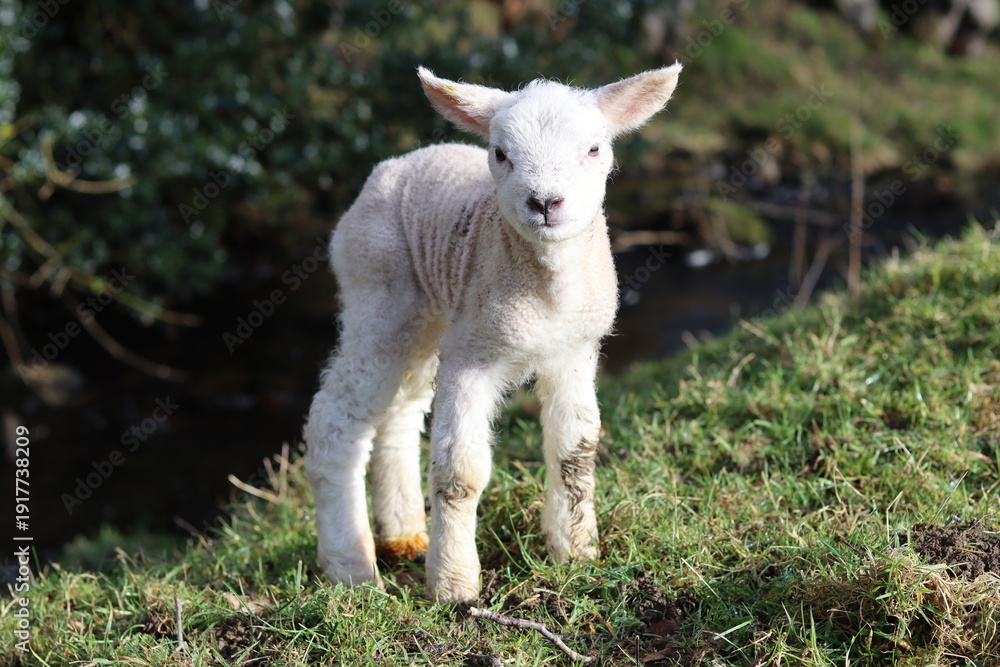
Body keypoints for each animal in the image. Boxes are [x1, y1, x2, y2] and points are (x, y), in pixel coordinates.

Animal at [304, 64, 682, 602]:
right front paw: (454, 587)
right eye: (500, 153)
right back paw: (351, 571)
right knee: (338, 420)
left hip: (430, 316)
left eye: (594, 149)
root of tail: (398, 163)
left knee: (399, 414)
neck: (546, 293)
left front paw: (577, 555)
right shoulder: (472, 354)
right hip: (377, 290)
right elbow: (459, 472)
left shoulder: (573, 350)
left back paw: (404, 535)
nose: (545, 202)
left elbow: (575, 452)